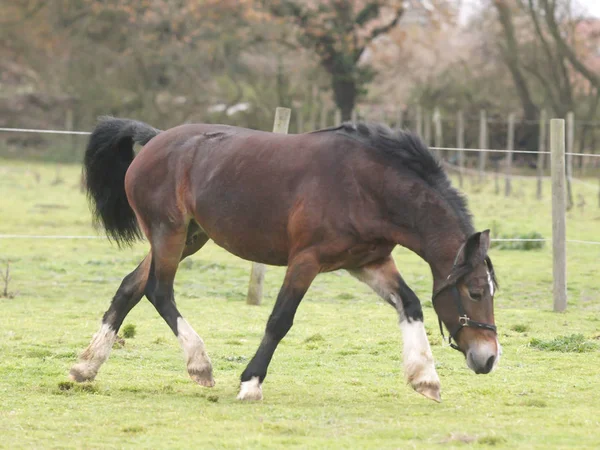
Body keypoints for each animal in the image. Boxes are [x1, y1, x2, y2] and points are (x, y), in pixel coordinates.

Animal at [70, 116, 500, 400]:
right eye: (476, 292)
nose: (488, 359)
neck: (367, 186)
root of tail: (156, 139)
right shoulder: (306, 260)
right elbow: (280, 320)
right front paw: (250, 383)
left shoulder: (367, 262)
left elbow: (410, 304)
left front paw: (425, 377)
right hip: (168, 233)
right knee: (159, 291)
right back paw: (200, 365)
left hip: (190, 237)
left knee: (131, 287)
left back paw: (86, 365)